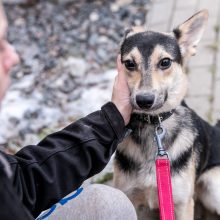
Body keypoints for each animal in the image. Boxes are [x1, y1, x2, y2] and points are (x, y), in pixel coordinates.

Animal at [113, 9, 220, 219]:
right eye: (129, 64)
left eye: (165, 62)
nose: (144, 100)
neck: (152, 125)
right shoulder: (129, 198)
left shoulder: (182, 204)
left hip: (213, 186)